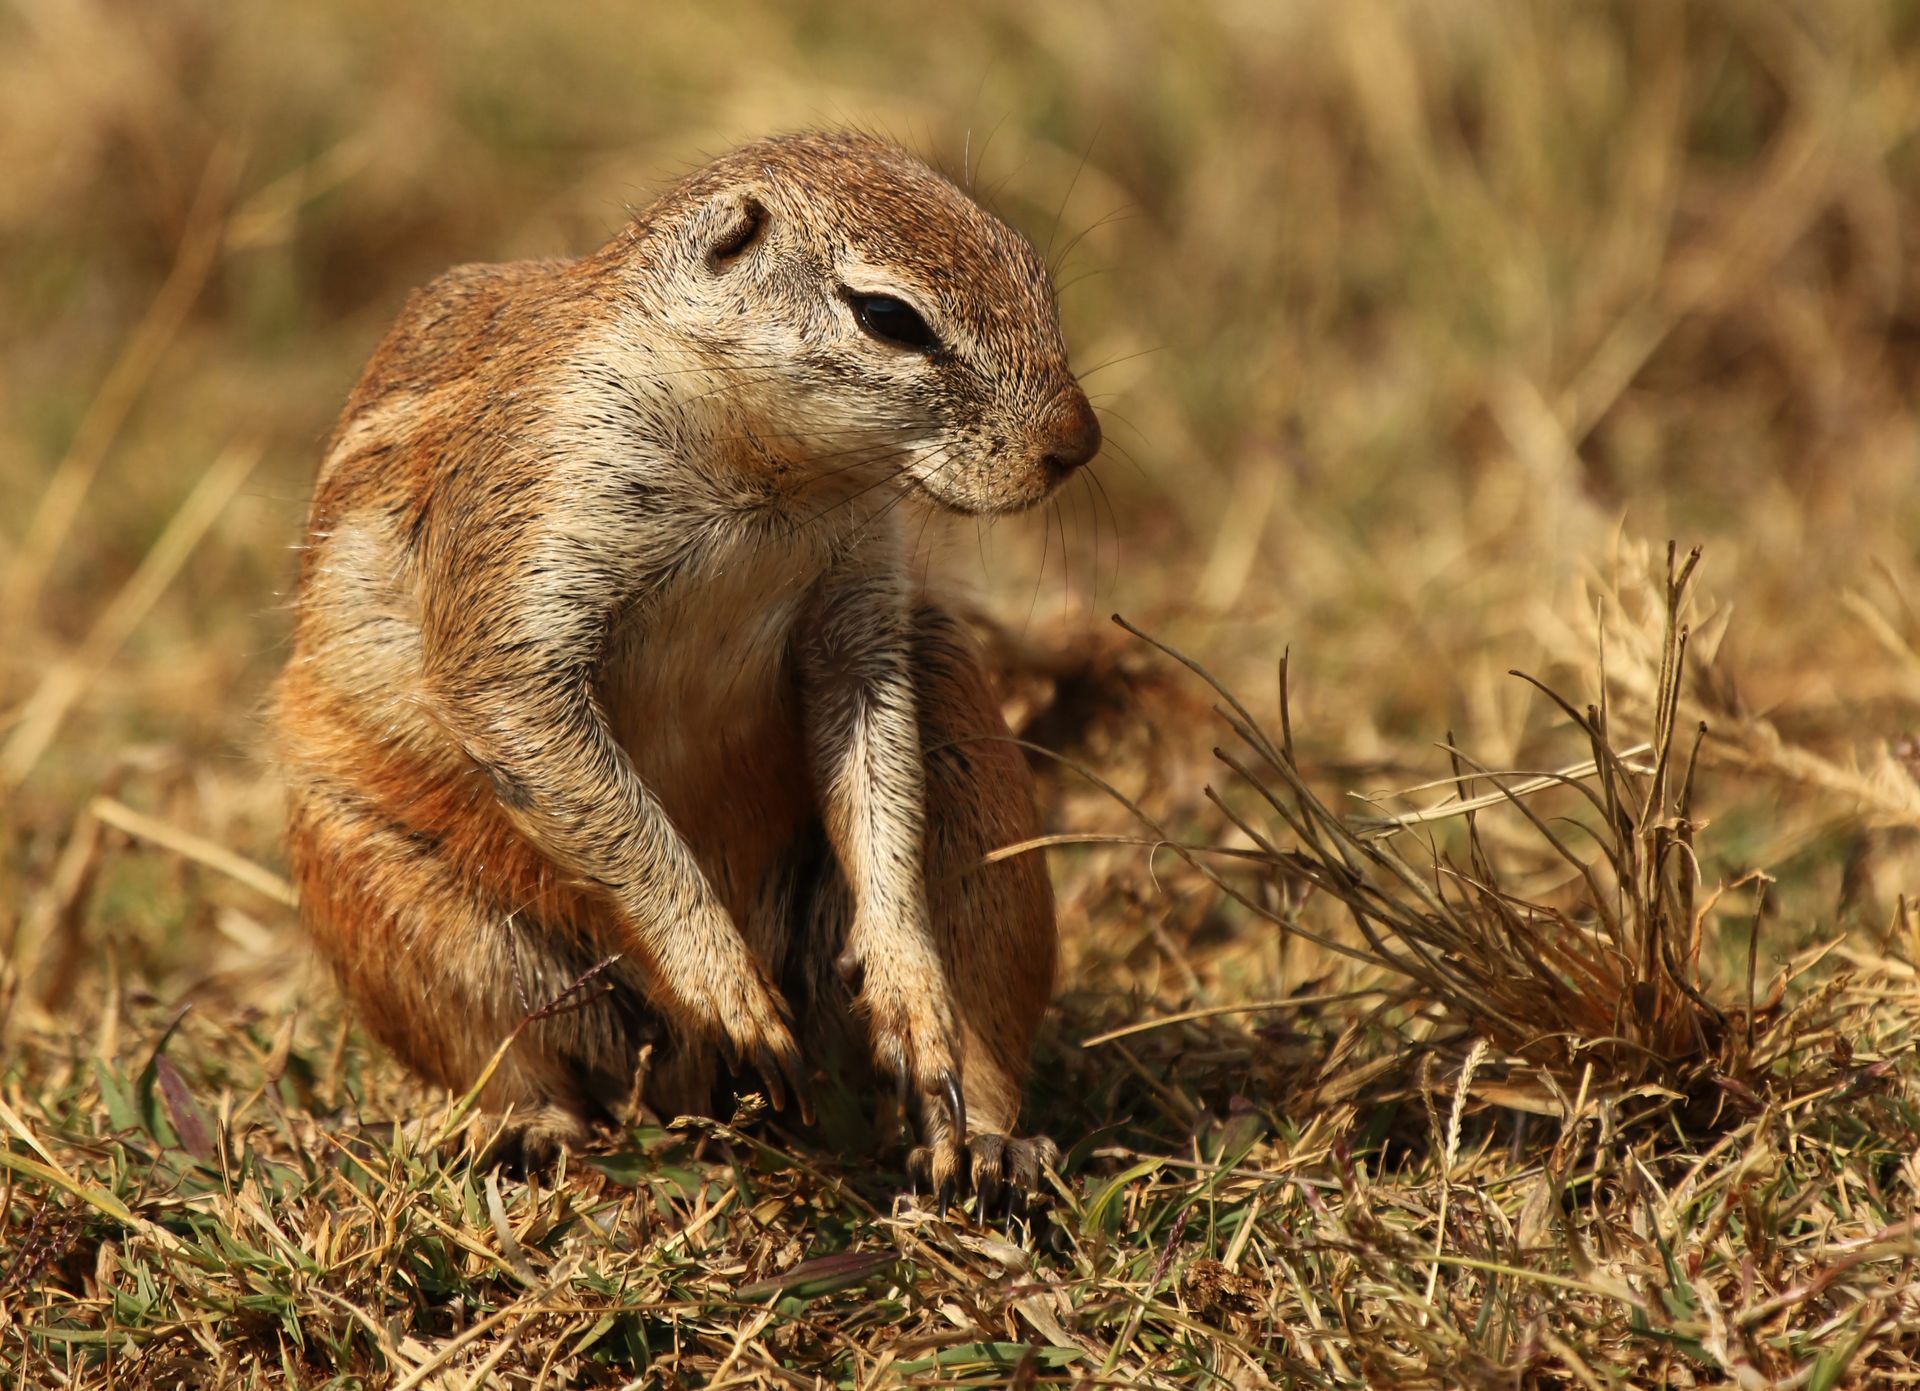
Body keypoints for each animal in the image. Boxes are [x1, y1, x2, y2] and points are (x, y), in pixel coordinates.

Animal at [274, 130, 1100, 1206]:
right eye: (888, 317)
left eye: (1031, 265)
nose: (1079, 441)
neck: (769, 471)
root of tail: (698, 1086)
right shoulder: (535, 520)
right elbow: (537, 723)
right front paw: (726, 983)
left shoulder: (858, 604)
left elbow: (870, 738)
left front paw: (906, 984)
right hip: (382, 887)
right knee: (509, 1056)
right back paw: (518, 1129)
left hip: (974, 771)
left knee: (981, 1027)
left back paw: (983, 1141)